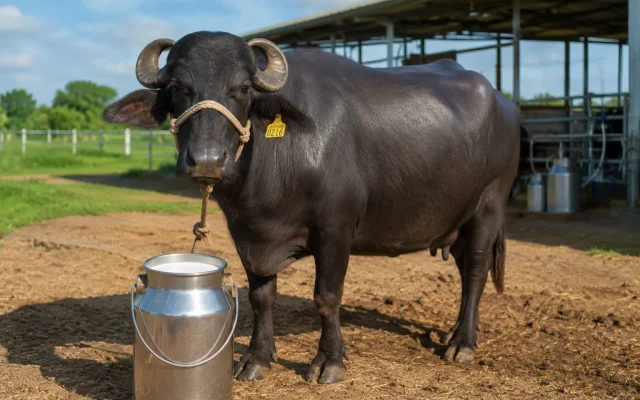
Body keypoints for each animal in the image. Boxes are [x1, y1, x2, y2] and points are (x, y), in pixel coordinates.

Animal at [104, 31, 520, 384]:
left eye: (242, 88)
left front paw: (329, 362)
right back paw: (456, 332)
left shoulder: (335, 230)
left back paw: (462, 344)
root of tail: (506, 105)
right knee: (466, 270)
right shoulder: (247, 235)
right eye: (177, 87)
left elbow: (327, 297)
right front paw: (256, 359)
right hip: (458, 222)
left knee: (475, 273)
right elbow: (261, 297)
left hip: (488, 209)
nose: (206, 160)